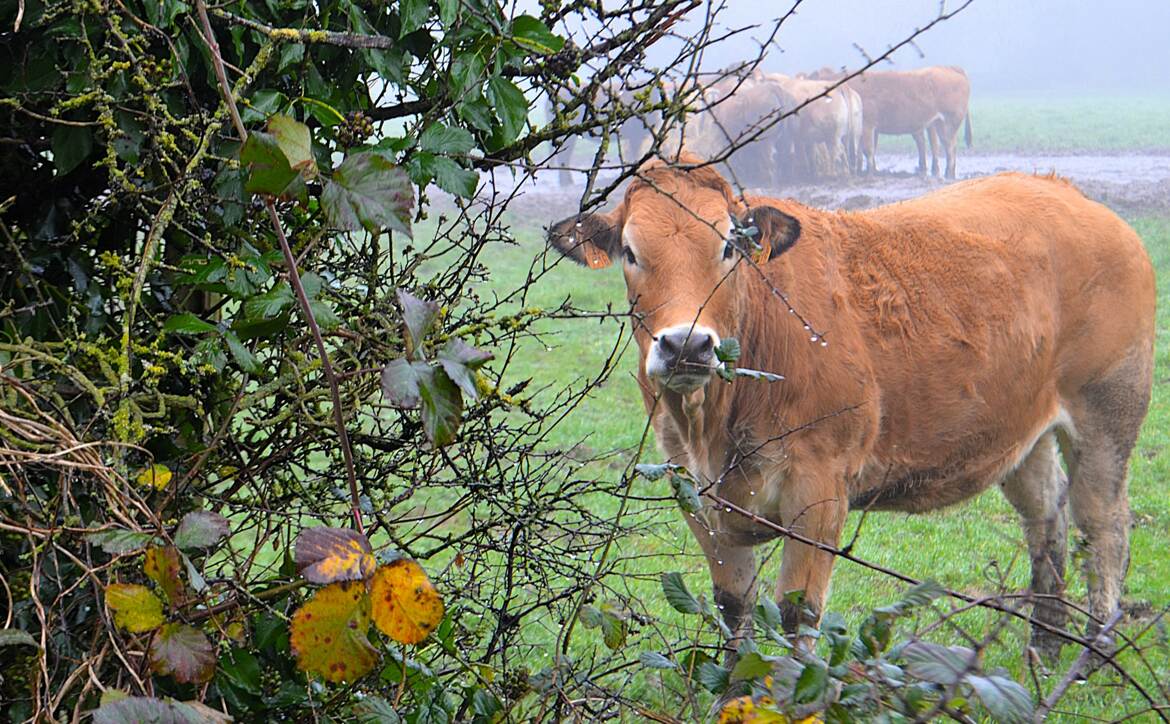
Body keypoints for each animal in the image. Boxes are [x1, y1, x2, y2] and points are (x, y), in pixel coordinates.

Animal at [547, 154, 1151, 664]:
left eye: (729, 248)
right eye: (630, 252)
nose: (687, 345)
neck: (713, 426)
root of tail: (1065, 191)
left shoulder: (819, 486)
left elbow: (796, 615)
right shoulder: (691, 490)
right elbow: (733, 608)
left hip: (1107, 412)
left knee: (1104, 525)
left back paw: (1093, 653)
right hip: (1021, 433)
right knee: (1045, 518)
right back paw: (1044, 648)